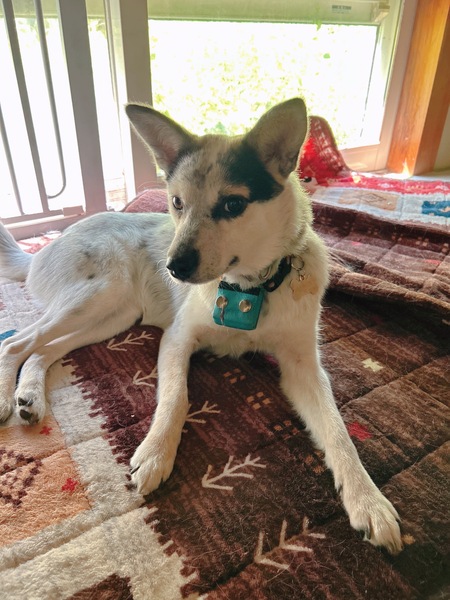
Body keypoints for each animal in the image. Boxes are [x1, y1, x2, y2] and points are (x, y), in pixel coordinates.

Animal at [0, 98, 402, 553]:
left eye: (232, 205)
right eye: (176, 202)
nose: (172, 267)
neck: (249, 286)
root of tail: (42, 249)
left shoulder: (304, 368)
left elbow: (337, 430)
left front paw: (368, 499)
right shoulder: (178, 339)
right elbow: (176, 397)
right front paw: (156, 453)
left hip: (113, 314)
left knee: (42, 350)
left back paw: (30, 398)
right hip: (101, 295)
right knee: (16, 343)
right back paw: (11, 397)